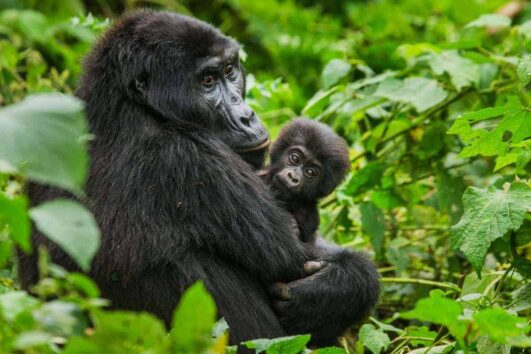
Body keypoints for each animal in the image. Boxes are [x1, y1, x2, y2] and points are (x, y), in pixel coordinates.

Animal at [19, 10, 378, 346]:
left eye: (230, 70)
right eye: (207, 80)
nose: (247, 116)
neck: (127, 105)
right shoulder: (192, 157)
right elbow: (293, 257)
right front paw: (340, 288)